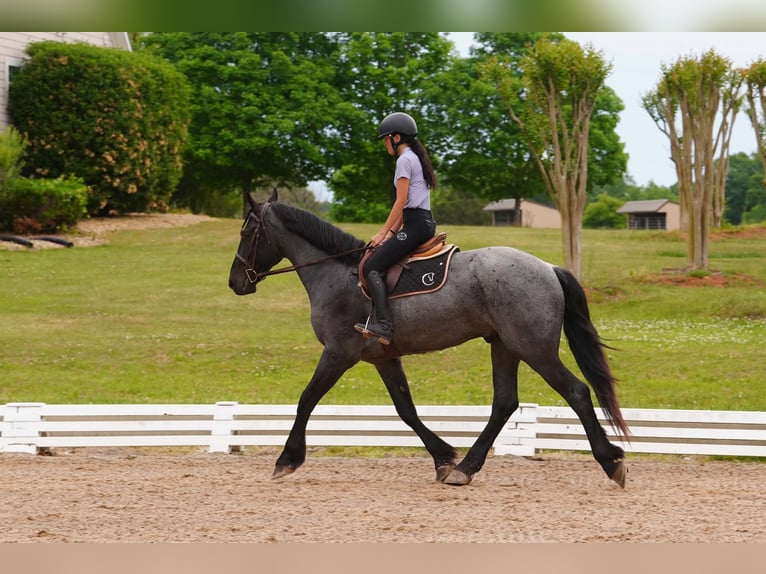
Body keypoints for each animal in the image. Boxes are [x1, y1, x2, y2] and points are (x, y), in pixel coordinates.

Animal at [229, 189, 629, 488]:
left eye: (247, 233)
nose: (235, 282)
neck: (337, 274)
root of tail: (548, 267)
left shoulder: (338, 353)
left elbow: (306, 399)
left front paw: (287, 459)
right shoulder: (383, 357)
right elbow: (406, 409)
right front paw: (443, 458)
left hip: (535, 349)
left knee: (576, 392)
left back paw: (611, 462)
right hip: (505, 346)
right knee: (505, 403)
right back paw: (465, 469)